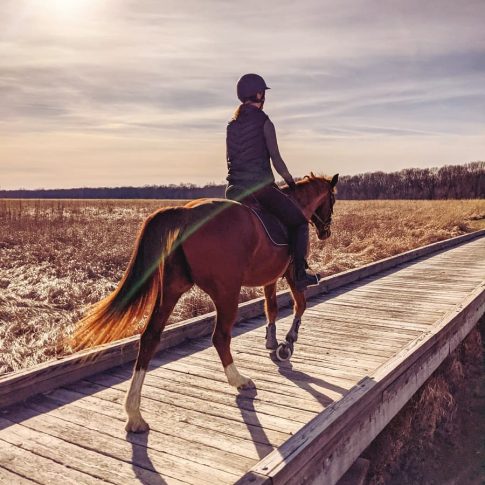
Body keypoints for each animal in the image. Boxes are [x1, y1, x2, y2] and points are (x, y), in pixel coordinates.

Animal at [71, 171, 336, 432]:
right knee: (220, 337)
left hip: (173, 288)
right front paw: (287, 343)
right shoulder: (292, 273)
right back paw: (239, 380)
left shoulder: (269, 278)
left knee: (150, 337)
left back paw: (134, 414)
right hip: (227, 292)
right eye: (332, 199)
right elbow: (299, 305)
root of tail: (186, 213)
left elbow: (270, 308)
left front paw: (271, 341)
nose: (326, 232)